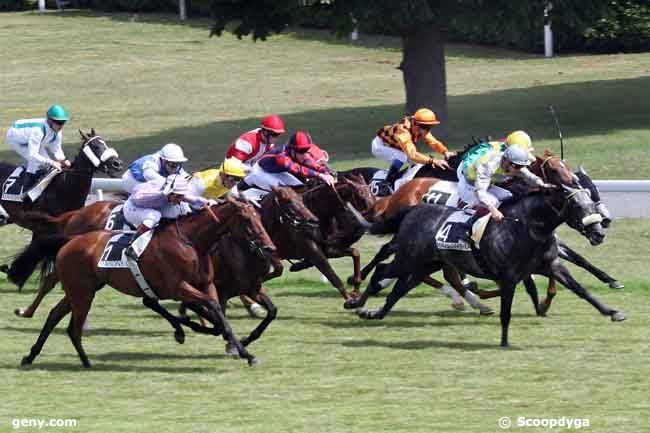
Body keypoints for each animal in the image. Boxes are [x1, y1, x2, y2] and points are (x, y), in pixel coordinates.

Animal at [8, 197, 276, 366]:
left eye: (260, 218)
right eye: (247, 220)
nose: (269, 247)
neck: (190, 241)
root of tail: (69, 240)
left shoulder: (206, 285)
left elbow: (218, 313)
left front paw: (236, 344)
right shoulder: (178, 288)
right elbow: (211, 309)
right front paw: (242, 350)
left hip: (82, 289)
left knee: (55, 314)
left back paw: (31, 356)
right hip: (82, 292)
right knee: (70, 323)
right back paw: (80, 358)